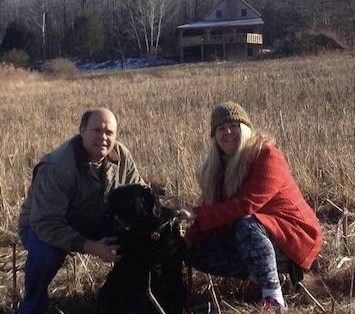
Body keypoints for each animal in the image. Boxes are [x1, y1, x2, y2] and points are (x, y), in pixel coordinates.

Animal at [97, 184, 186, 314]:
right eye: (110, 202)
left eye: (127, 202)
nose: (104, 218)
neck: (148, 236)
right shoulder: (131, 277)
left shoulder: (172, 273)